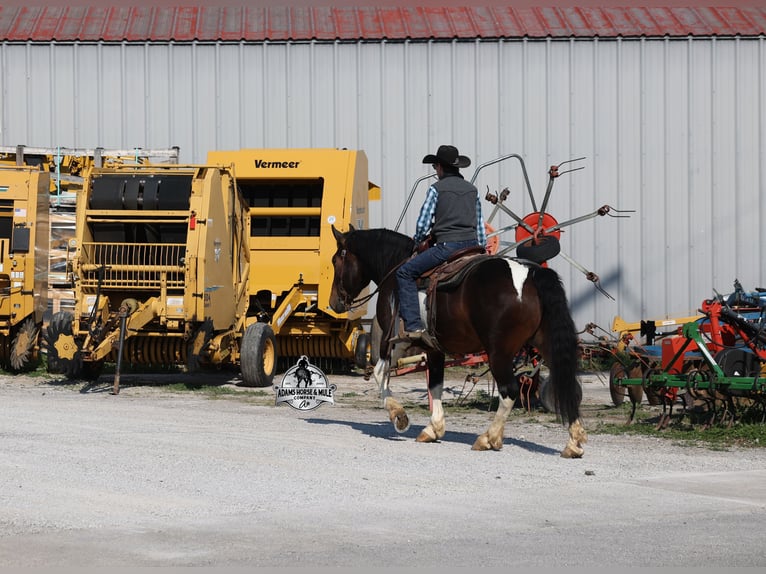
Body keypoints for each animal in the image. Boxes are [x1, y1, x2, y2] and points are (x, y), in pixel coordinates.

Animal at [329, 224, 587, 458]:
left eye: (335, 260)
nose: (334, 303)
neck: (395, 268)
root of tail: (531, 274)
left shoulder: (396, 340)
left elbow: (380, 372)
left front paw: (399, 416)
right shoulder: (434, 348)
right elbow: (435, 385)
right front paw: (433, 429)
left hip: (499, 352)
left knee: (510, 391)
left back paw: (489, 438)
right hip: (545, 343)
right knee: (566, 383)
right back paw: (574, 442)